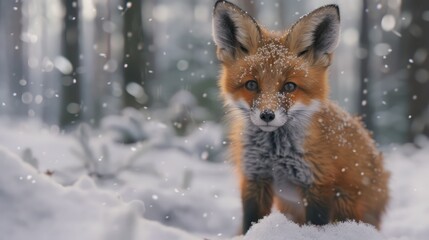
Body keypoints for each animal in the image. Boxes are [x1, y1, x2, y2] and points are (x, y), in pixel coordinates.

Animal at [212, 0, 390, 233]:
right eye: (251, 84)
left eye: (289, 86)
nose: (267, 115)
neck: (275, 154)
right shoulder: (254, 178)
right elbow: (250, 223)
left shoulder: (318, 184)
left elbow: (317, 225)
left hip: (346, 200)